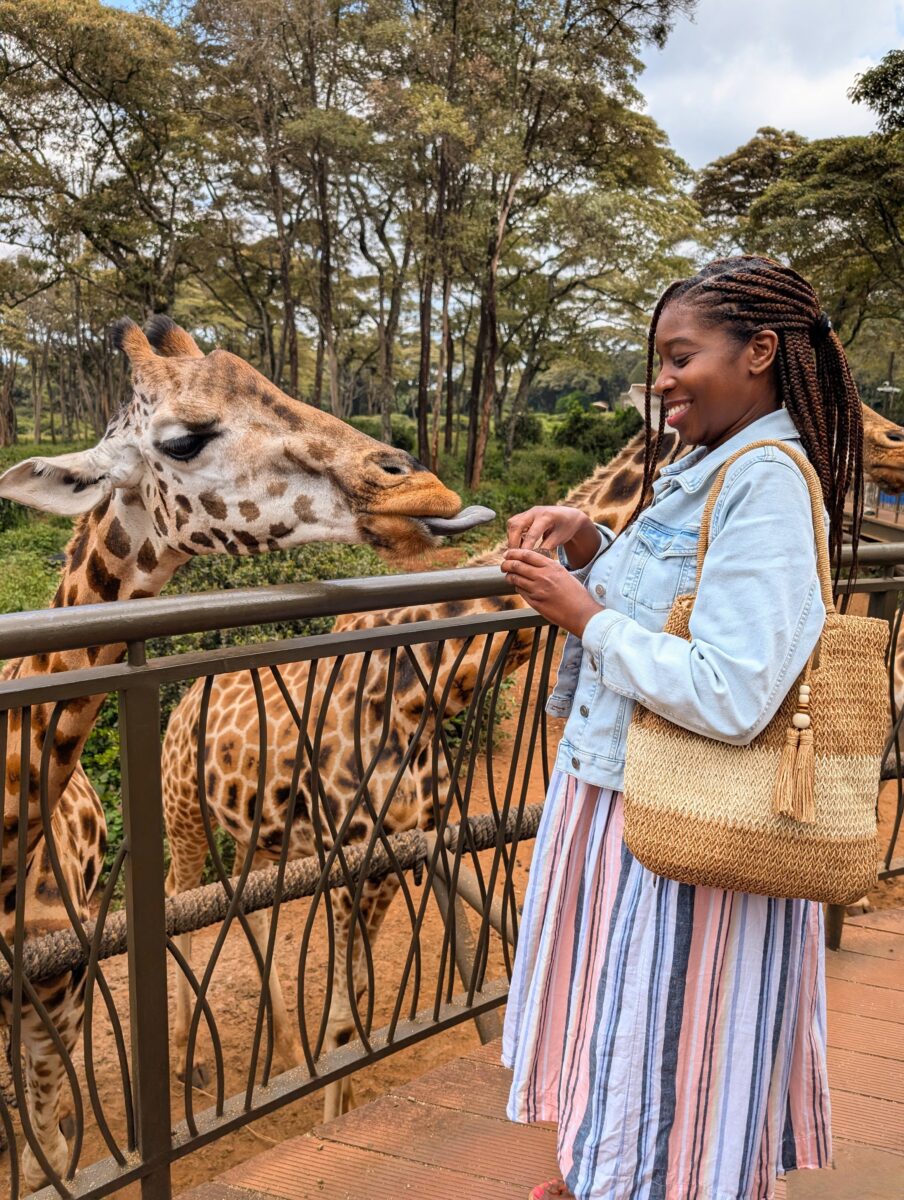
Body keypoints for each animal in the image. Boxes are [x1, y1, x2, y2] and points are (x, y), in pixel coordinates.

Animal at [158, 396, 902, 1113]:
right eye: (855, 412)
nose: (896, 444)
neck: (419, 691)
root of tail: (184, 702)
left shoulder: (399, 849)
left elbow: (359, 1007)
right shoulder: (357, 858)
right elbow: (345, 1023)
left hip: (262, 834)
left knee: (252, 910)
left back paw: (278, 1048)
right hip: (184, 809)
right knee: (178, 896)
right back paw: (187, 1061)